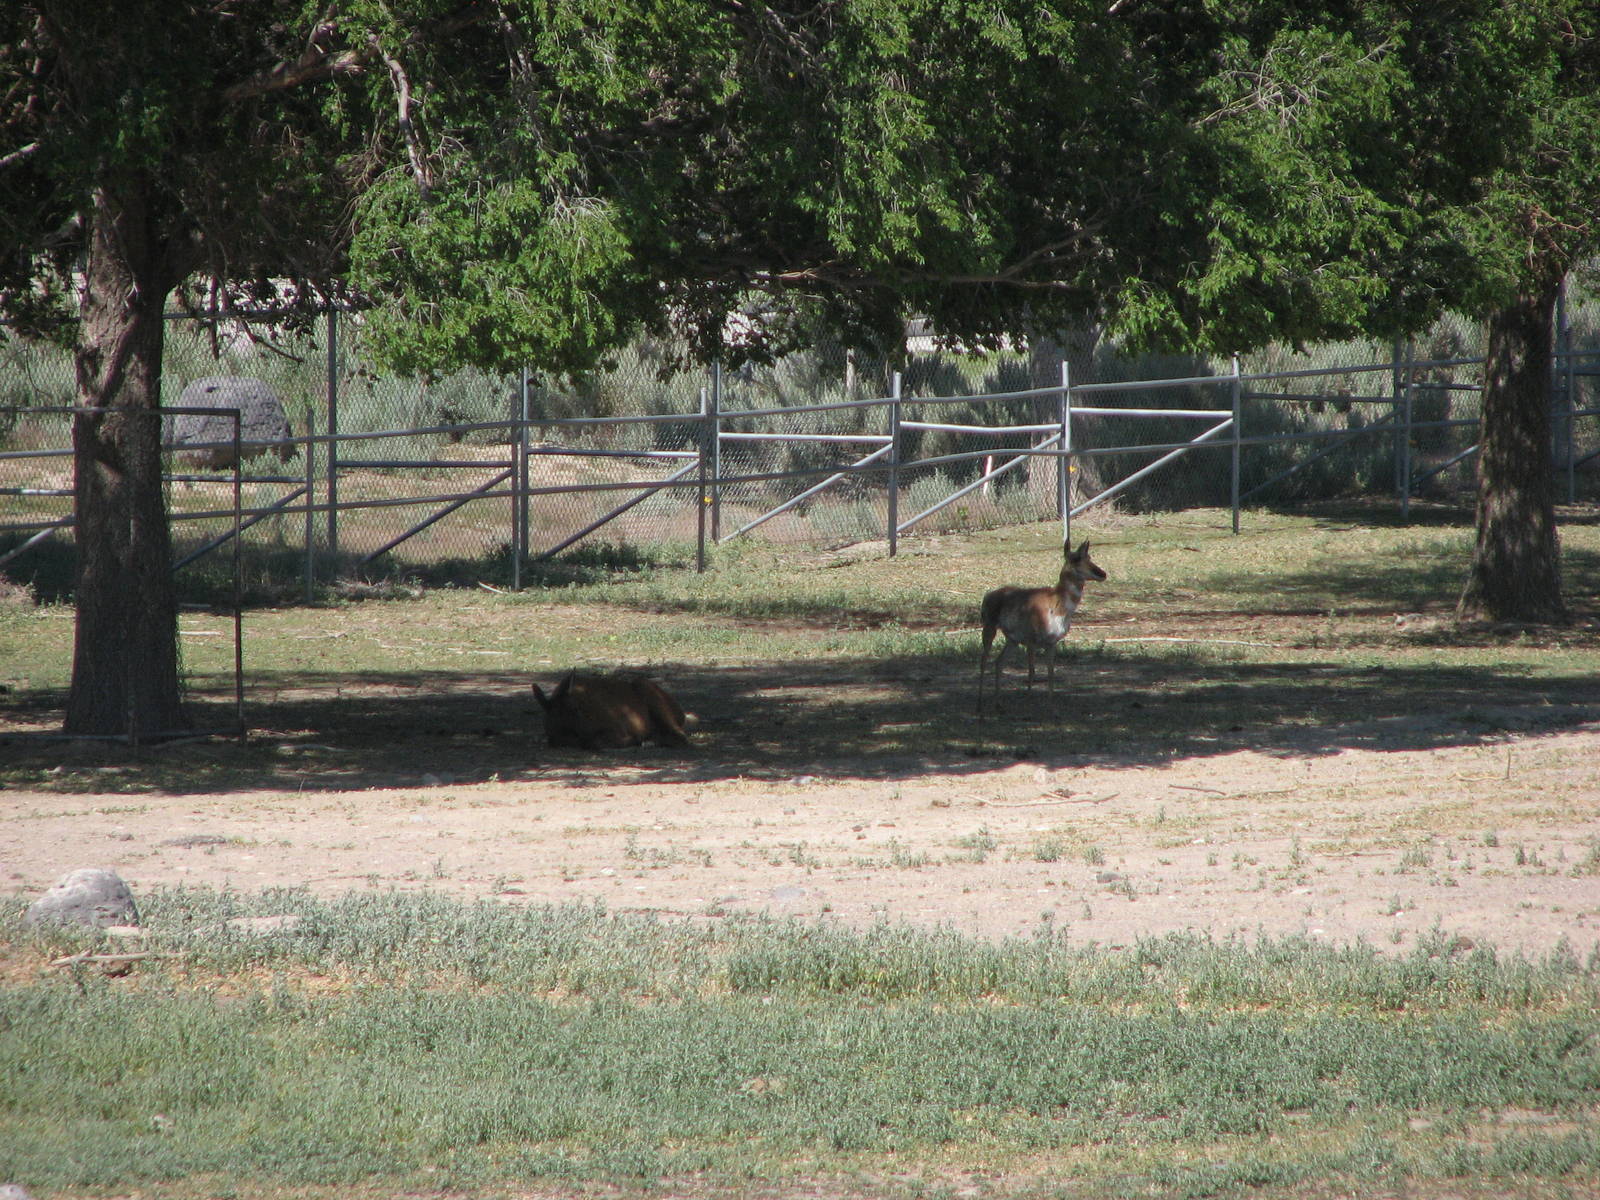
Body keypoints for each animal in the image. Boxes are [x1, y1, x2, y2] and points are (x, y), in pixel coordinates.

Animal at [532, 671, 693, 750]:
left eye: (576, 708)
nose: (585, 732)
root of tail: (681, 712)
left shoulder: (616, 727)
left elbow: (596, 742)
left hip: (645, 687)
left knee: (681, 735)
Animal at [977, 540, 1106, 713]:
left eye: (1089, 556)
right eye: (1076, 558)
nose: (1102, 574)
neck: (1056, 603)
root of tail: (989, 594)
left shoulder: (1051, 643)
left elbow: (1050, 672)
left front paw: (1051, 707)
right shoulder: (1031, 642)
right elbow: (1032, 671)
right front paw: (1028, 701)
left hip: (1012, 640)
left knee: (998, 662)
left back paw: (998, 704)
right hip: (989, 629)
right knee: (984, 661)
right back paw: (980, 704)